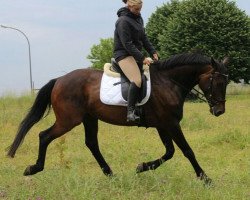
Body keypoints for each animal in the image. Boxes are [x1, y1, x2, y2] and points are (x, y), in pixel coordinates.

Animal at [6, 52, 229, 184]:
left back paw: (110, 174)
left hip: (89, 118)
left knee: (91, 143)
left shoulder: (162, 125)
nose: (219, 111)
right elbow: (186, 151)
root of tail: (59, 79)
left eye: (226, 83)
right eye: (217, 81)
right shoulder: (170, 124)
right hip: (68, 120)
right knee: (44, 136)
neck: (169, 82)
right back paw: (33, 168)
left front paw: (142, 167)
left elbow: (170, 152)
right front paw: (205, 178)